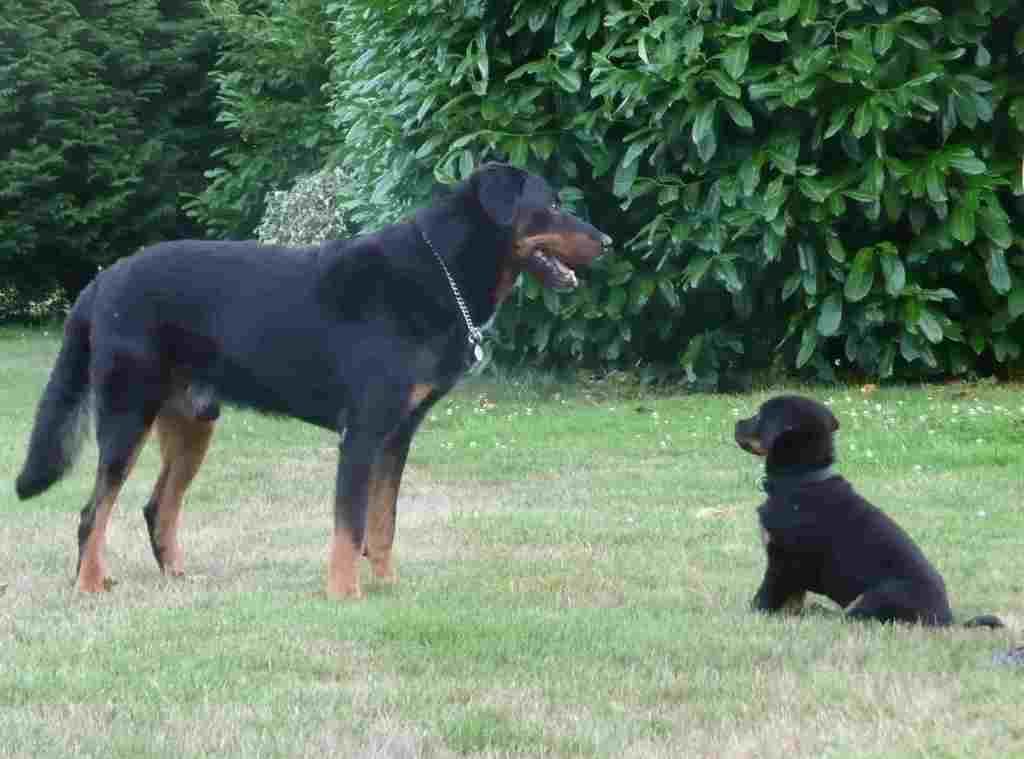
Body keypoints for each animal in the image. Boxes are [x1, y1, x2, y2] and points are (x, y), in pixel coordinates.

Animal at [16, 163, 610, 598]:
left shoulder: (397, 435)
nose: (605, 240)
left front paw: (387, 586)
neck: (441, 274)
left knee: (157, 505)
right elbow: (350, 524)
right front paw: (344, 594)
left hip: (191, 422)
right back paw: (90, 585)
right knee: (94, 511)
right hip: (127, 412)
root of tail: (101, 282)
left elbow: (383, 521)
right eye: (553, 203)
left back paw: (180, 579)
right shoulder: (363, 432)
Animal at [733, 393, 1003, 622]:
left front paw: (753, 614)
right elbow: (792, 599)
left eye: (759, 416)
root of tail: (946, 620)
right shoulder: (792, 567)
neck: (802, 479)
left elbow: (766, 595)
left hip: (876, 594)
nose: (736, 423)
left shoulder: (783, 560)